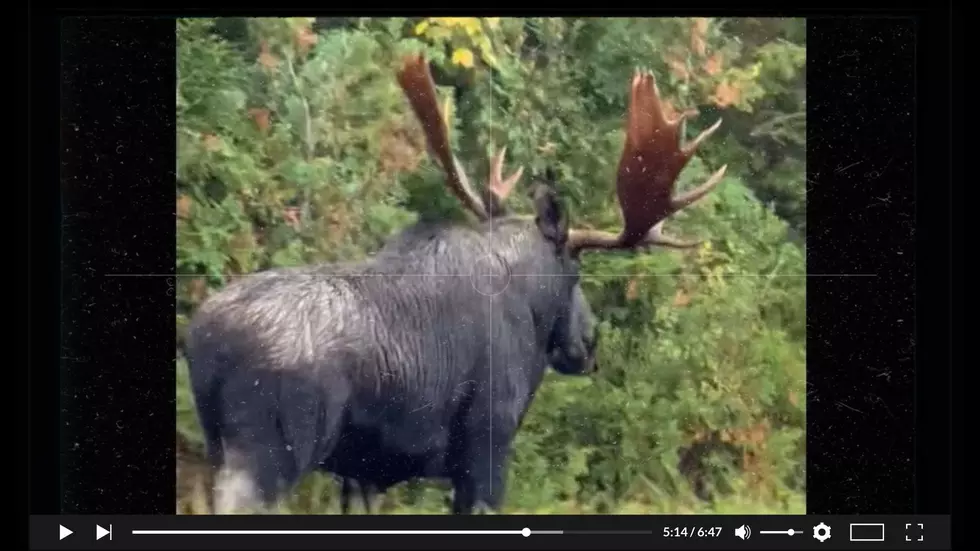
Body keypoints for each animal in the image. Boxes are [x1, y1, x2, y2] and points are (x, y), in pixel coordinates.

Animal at [188, 54, 728, 516]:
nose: (588, 344)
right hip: (269, 451)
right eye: (575, 269)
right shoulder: (487, 444)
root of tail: (203, 341)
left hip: (216, 449)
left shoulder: (361, 472)